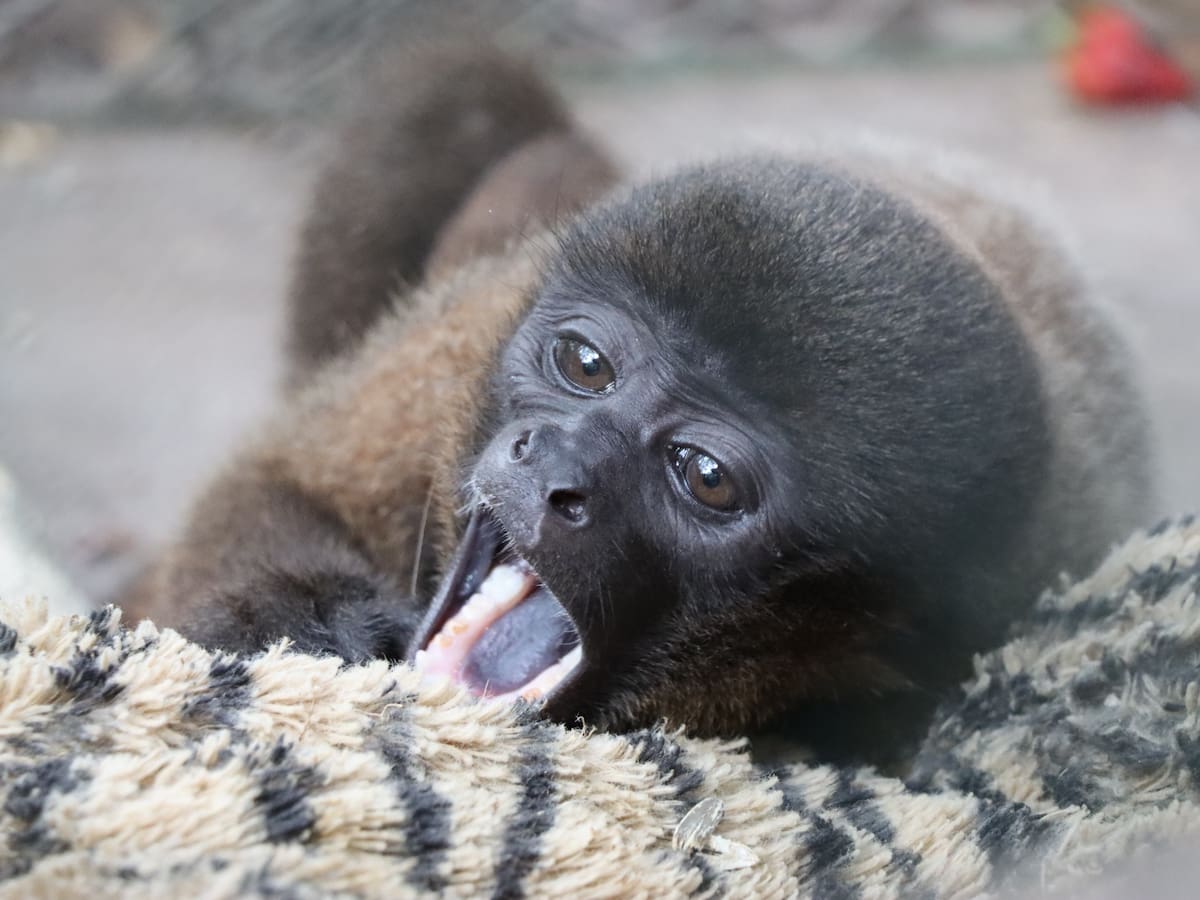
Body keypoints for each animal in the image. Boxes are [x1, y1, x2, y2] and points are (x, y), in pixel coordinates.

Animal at [127, 44, 1154, 757]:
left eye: (705, 476)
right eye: (585, 364)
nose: (556, 469)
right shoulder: (453, 350)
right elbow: (275, 475)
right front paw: (300, 617)